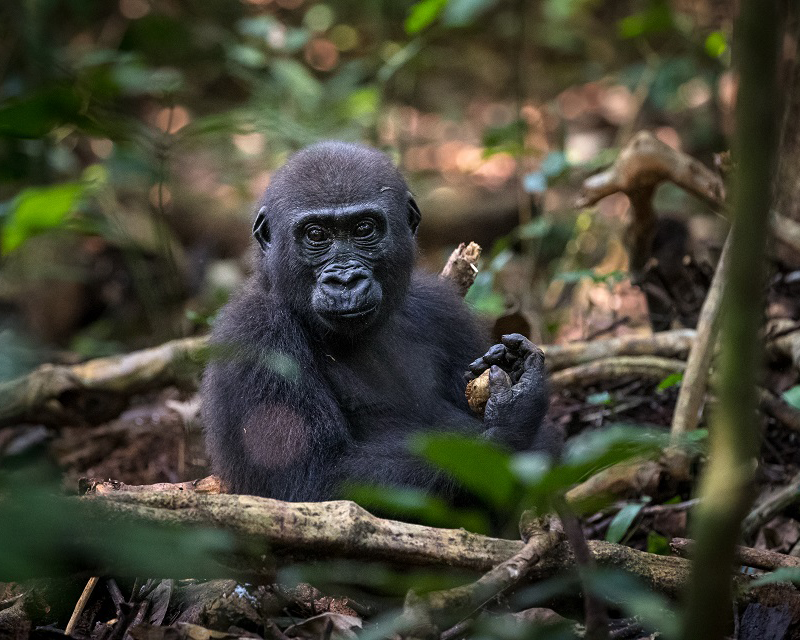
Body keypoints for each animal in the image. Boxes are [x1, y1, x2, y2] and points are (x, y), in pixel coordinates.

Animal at [203, 142, 560, 502]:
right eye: (316, 234)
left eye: (364, 229)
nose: (345, 280)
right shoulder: (255, 333)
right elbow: (312, 480)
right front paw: (512, 417)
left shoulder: (444, 309)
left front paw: (517, 369)